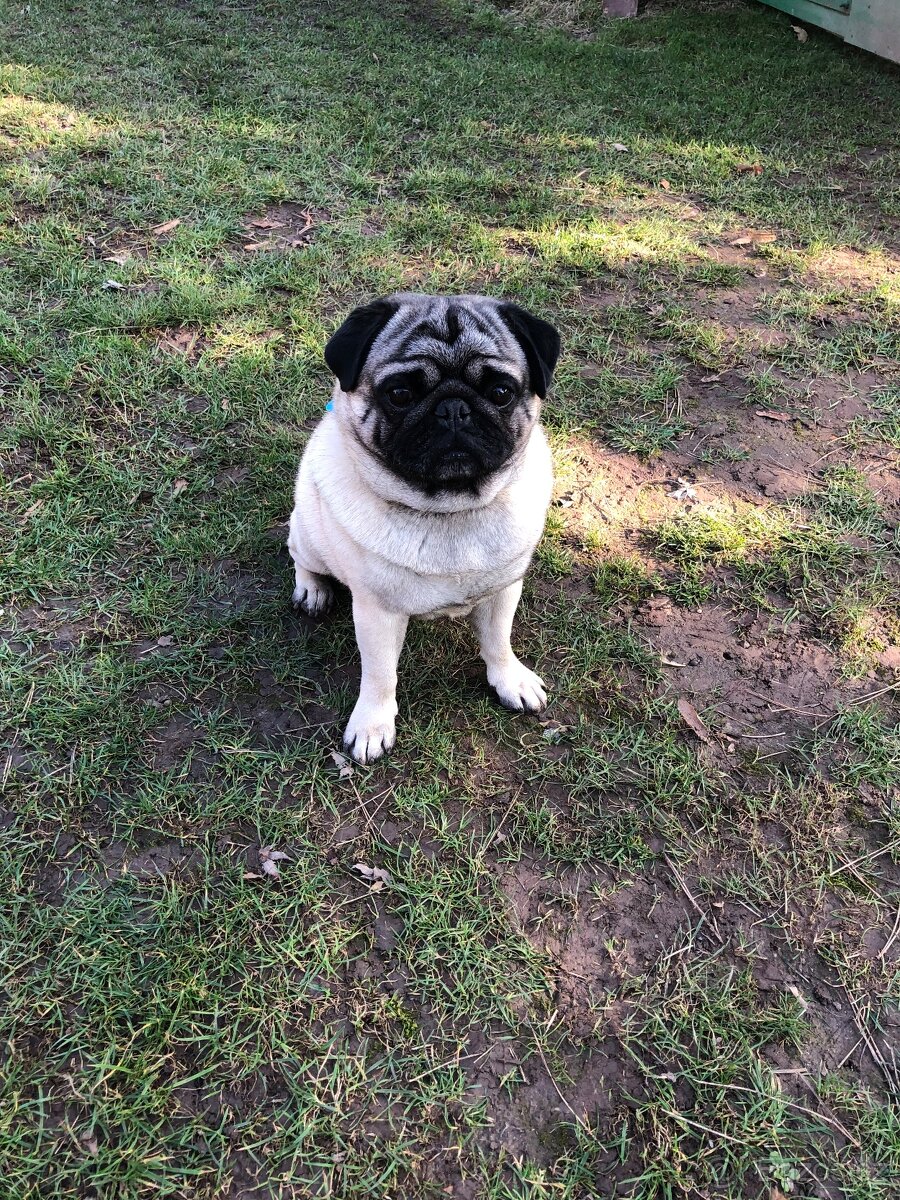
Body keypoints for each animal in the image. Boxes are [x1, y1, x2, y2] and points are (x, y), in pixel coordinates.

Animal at [287, 292, 561, 763]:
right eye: (399, 394)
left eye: (501, 392)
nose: (453, 408)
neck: (451, 509)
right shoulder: (376, 612)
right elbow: (380, 675)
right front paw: (372, 725)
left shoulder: (504, 589)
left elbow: (498, 640)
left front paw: (510, 679)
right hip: (308, 532)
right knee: (299, 555)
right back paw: (312, 590)